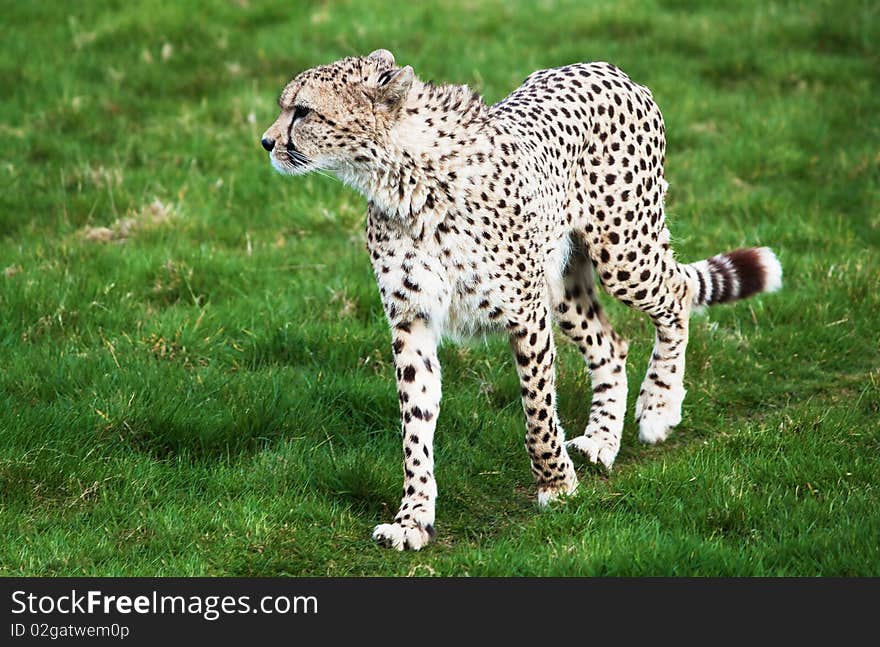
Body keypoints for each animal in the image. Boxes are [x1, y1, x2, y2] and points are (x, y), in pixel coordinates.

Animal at [262, 49, 784, 552]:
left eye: (302, 111)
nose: (267, 143)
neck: (402, 176)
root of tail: (605, 67)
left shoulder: (525, 313)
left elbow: (537, 411)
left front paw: (556, 485)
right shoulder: (413, 320)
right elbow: (415, 425)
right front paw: (413, 518)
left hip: (622, 254)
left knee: (676, 294)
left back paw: (659, 407)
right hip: (562, 284)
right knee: (611, 344)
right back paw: (601, 440)